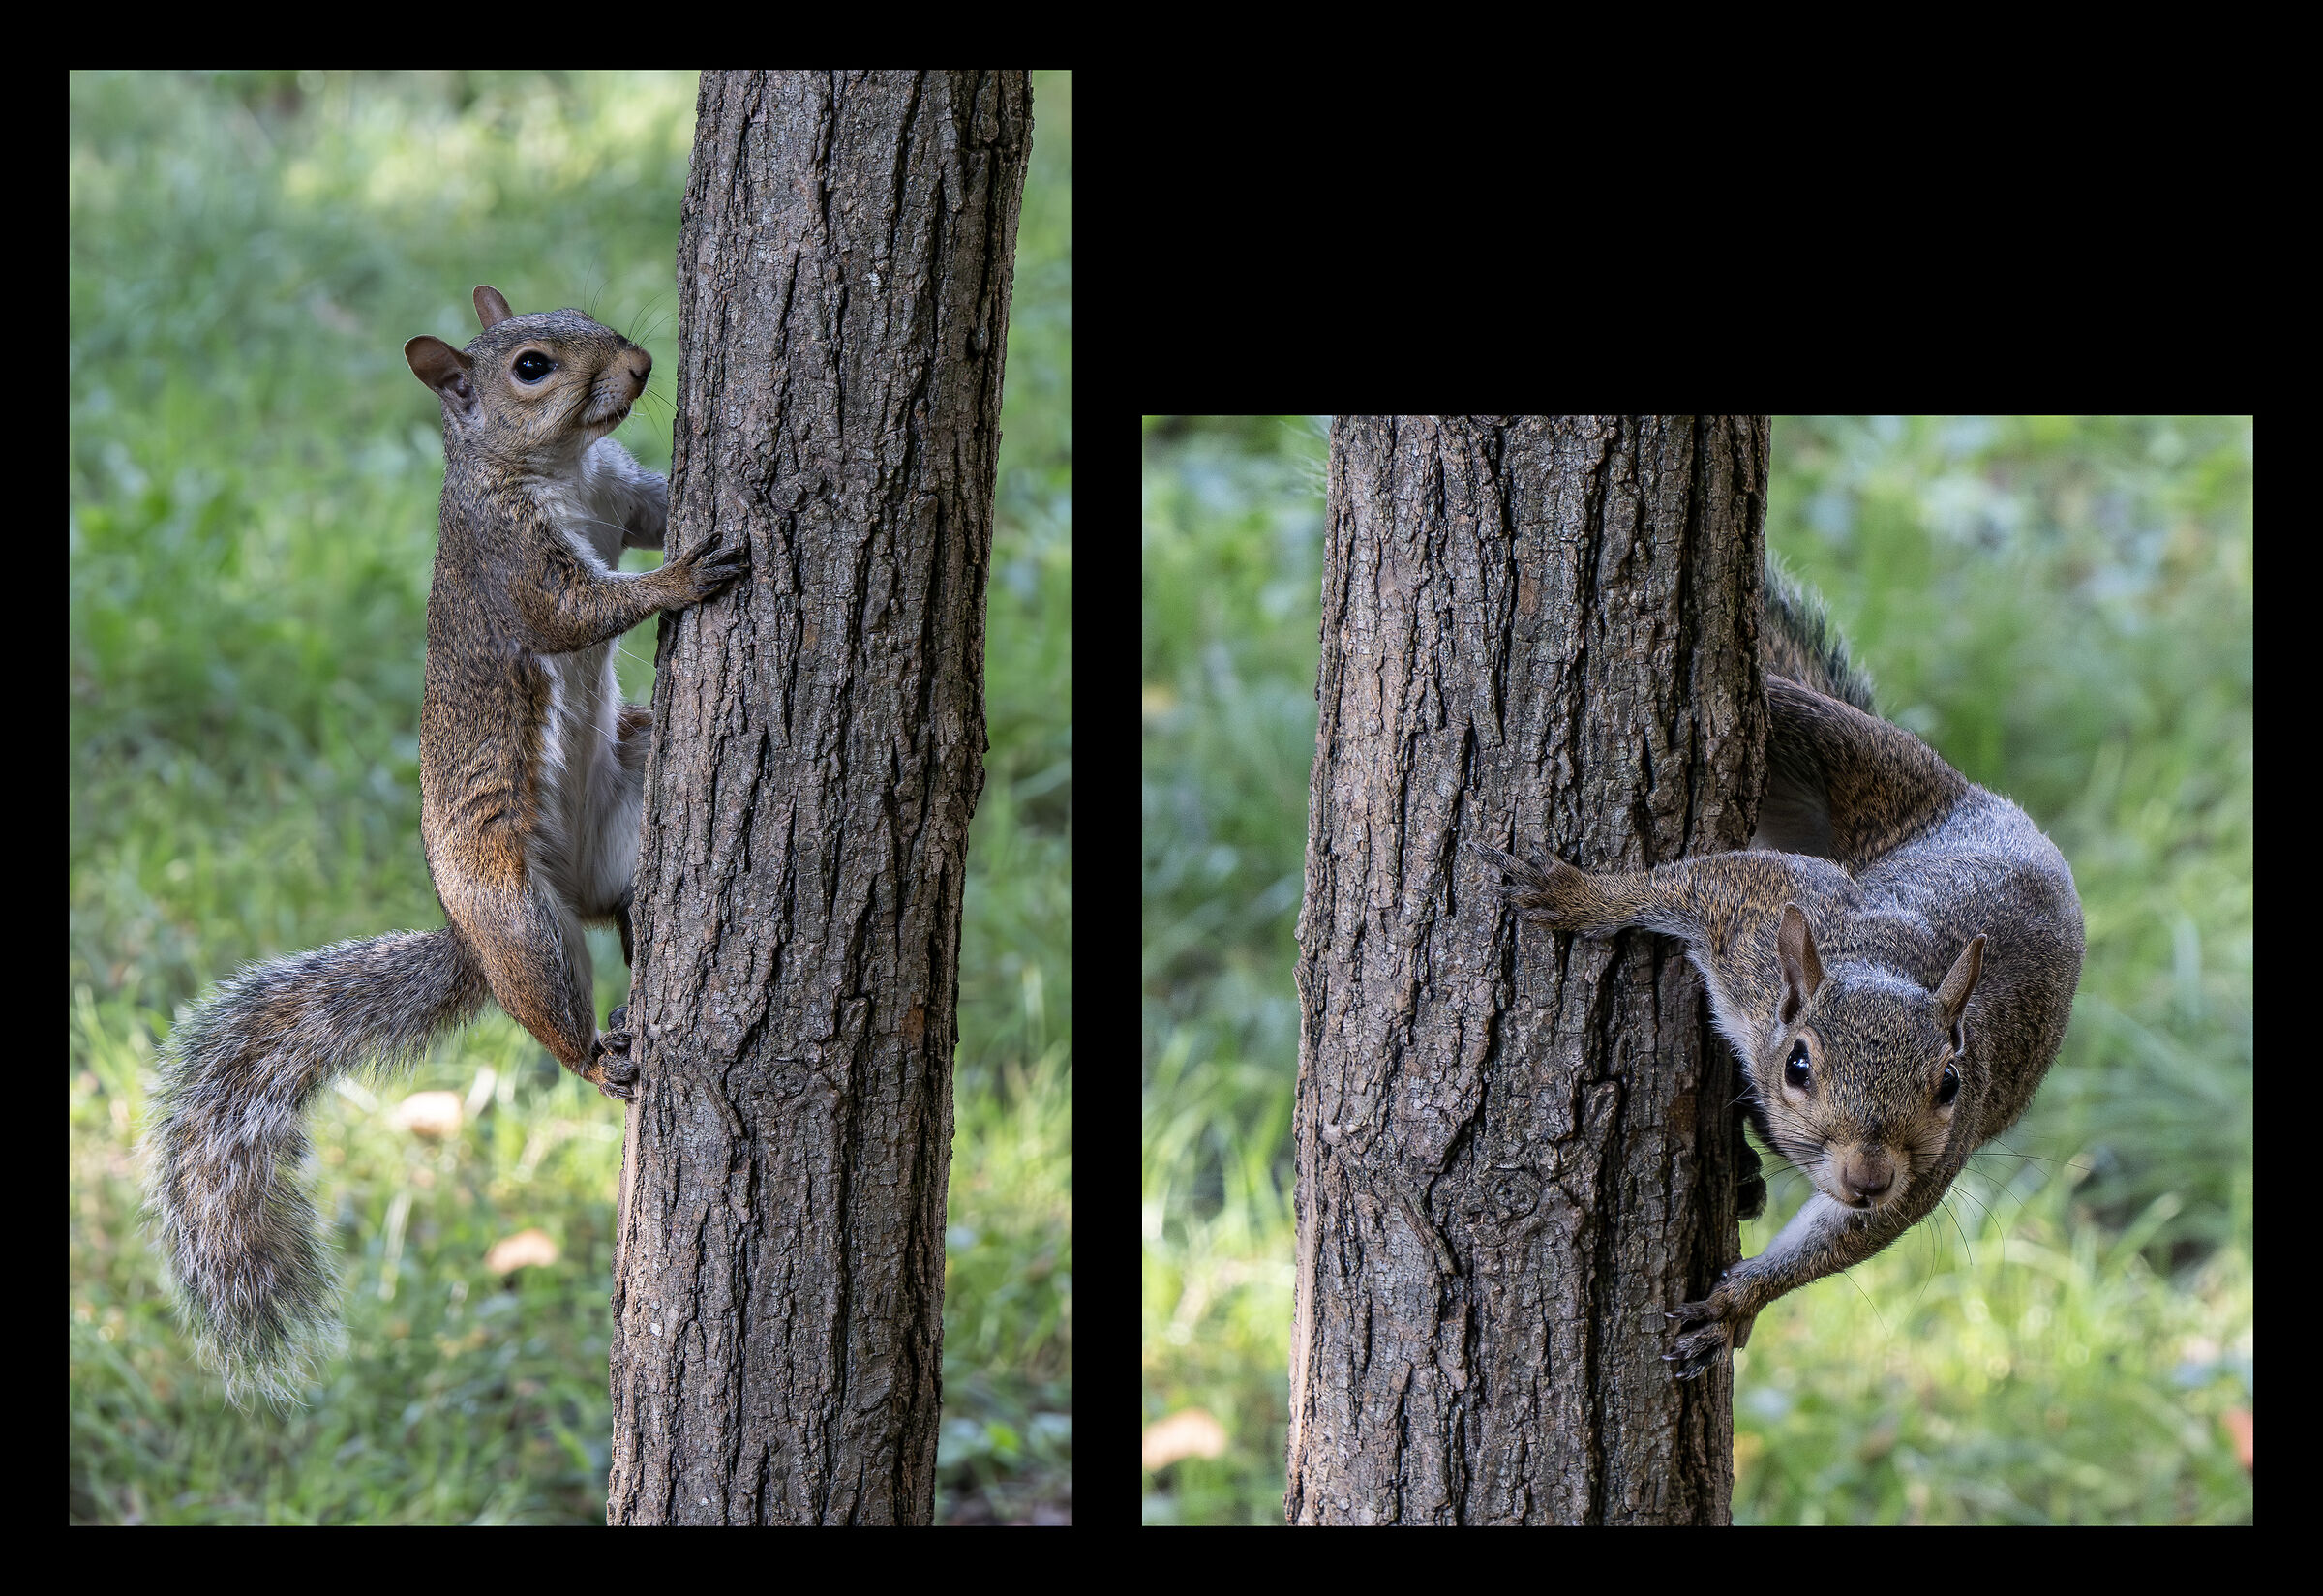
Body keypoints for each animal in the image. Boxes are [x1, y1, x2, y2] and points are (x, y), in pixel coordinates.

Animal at [144, 286, 746, 1405]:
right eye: (531, 368)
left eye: (588, 314)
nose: (642, 365)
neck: (556, 470)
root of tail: (470, 935)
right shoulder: (512, 564)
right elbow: (580, 609)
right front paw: (683, 576)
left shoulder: (618, 494)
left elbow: (649, 509)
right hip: (519, 918)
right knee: (552, 1013)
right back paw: (598, 1054)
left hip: (634, 789)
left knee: (623, 904)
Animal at [1471, 556, 2083, 1380]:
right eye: (1799, 1064)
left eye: (1950, 1084)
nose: (1867, 1178)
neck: (1885, 961)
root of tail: (1981, 797)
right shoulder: (1752, 915)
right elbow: (1673, 885)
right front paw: (1577, 894)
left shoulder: (1933, 1165)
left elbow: (1844, 1239)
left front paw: (1737, 1304)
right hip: (1842, 744)